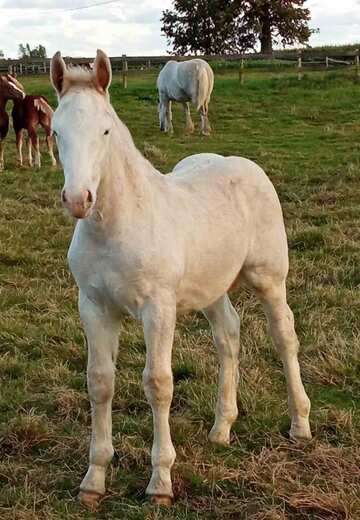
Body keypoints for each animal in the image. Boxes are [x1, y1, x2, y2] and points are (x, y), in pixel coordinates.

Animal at [50, 50, 312, 506]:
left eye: (105, 129)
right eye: (55, 131)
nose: (78, 199)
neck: (117, 223)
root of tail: (244, 165)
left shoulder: (158, 308)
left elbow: (158, 384)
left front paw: (160, 482)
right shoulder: (94, 307)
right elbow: (99, 382)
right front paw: (93, 479)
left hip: (269, 278)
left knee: (284, 336)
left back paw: (300, 423)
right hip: (212, 286)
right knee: (228, 335)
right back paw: (222, 427)